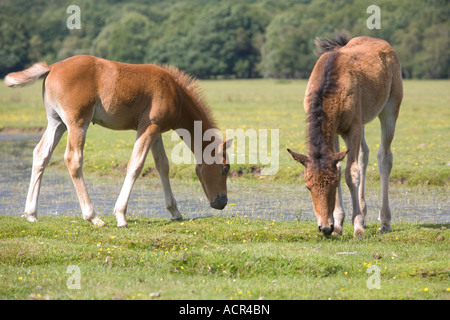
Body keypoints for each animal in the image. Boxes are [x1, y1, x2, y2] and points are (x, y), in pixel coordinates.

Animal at [5, 56, 232, 229]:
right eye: (225, 168)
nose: (222, 202)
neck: (174, 91)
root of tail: (52, 67)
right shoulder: (148, 127)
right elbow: (136, 165)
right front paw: (121, 215)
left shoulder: (156, 130)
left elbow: (162, 165)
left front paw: (174, 211)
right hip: (78, 122)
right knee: (73, 159)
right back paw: (93, 217)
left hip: (57, 123)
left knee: (41, 154)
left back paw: (31, 214)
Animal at [288, 33, 404, 236]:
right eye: (308, 186)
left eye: (333, 185)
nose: (324, 227)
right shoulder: (334, 131)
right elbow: (341, 167)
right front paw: (339, 224)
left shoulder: (353, 128)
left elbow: (351, 173)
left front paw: (357, 226)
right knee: (364, 153)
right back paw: (364, 213)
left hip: (390, 108)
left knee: (384, 157)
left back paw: (384, 221)